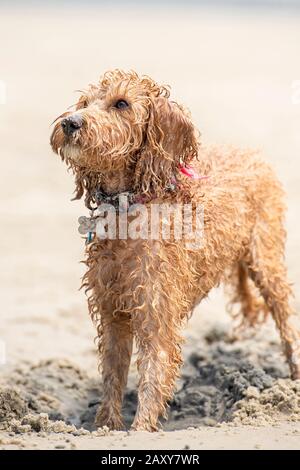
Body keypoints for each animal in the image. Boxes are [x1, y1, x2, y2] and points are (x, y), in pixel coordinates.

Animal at [50, 68, 298, 432]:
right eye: (84, 103)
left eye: (121, 103)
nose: (70, 122)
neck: (130, 207)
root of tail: (250, 152)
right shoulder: (112, 311)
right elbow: (112, 375)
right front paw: (106, 427)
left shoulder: (157, 311)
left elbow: (153, 374)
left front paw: (139, 430)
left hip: (267, 262)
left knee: (287, 320)